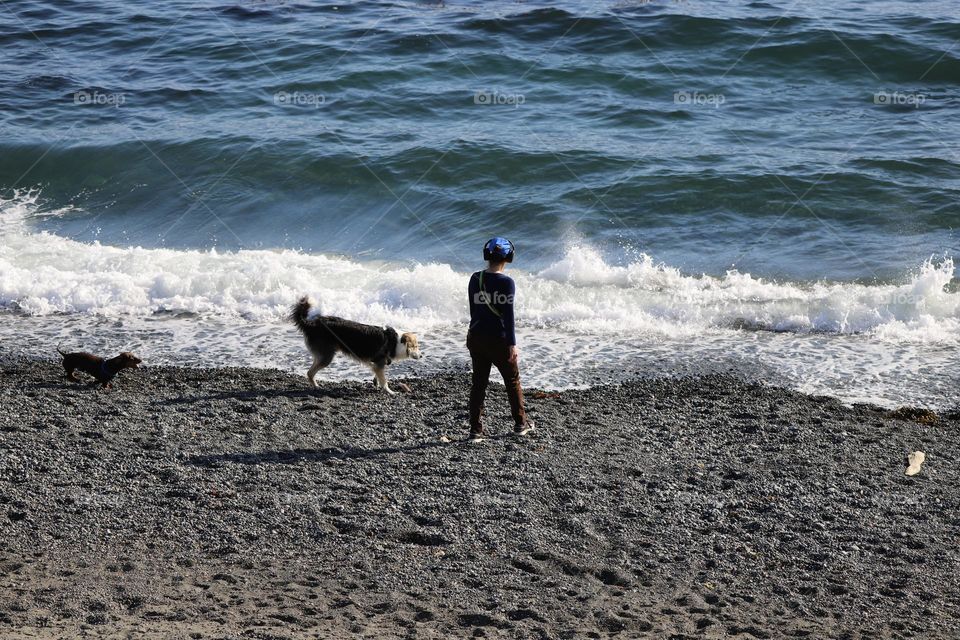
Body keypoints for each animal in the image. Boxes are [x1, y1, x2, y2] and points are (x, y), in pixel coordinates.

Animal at [284, 298, 420, 392]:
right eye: (415, 346)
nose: (421, 356)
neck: (396, 342)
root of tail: (312, 324)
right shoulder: (379, 362)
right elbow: (384, 381)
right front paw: (390, 391)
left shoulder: (377, 364)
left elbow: (377, 375)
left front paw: (376, 383)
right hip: (327, 356)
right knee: (310, 373)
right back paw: (317, 386)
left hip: (322, 354)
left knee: (311, 370)